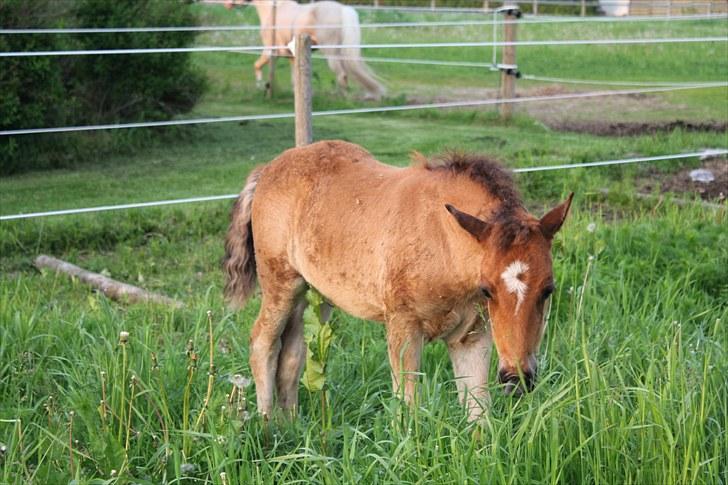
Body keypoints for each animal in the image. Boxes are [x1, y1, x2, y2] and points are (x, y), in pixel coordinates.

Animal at [225, 141, 572, 420]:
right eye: (488, 290)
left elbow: (478, 413)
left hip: (316, 293)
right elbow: (407, 408)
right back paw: (268, 426)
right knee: (263, 343)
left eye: (548, 290)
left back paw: (293, 427)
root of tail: (267, 169)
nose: (517, 378)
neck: (444, 243)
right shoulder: (403, 329)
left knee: (293, 355)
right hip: (280, 284)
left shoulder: (471, 337)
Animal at [226, 0, 386, 99]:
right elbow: (294, 78)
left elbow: (257, 65)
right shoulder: (291, 56)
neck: (274, 10)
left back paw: (341, 97)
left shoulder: (270, 51)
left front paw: (260, 88)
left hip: (331, 53)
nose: (228, 4)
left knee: (341, 75)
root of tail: (342, 9)